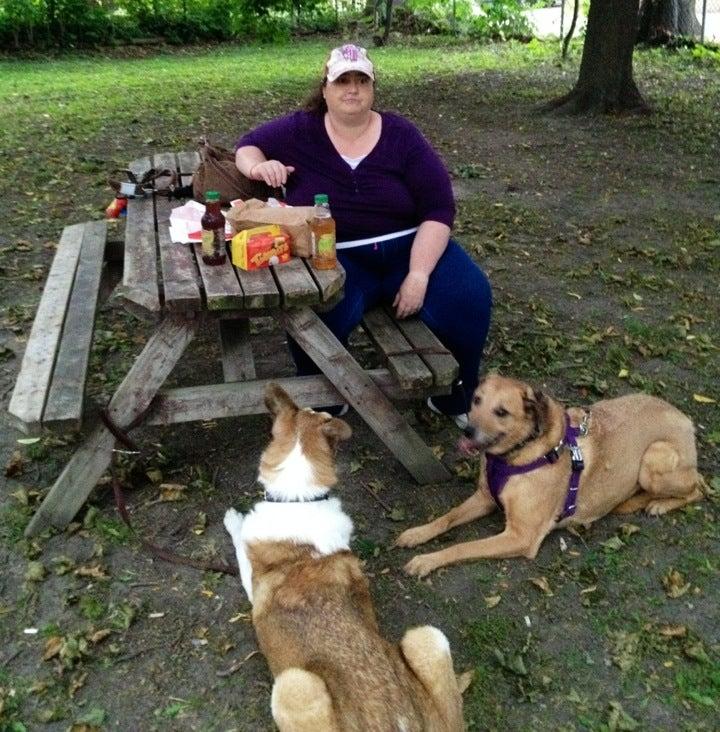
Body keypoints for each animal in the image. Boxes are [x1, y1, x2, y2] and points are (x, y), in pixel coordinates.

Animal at [222, 386, 464, 728]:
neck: (299, 499)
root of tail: (398, 724)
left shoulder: (251, 580)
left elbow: (238, 542)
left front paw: (233, 518)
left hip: (293, 683)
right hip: (427, 638)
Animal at [396, 378, 704, 576]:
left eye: (502, 412)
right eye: (476, 400)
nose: (467, 431)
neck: (519, 454)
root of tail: (685, 418)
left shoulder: (521, 536)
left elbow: (462, 547)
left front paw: (426, 561)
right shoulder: (485, 498)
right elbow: (446, 518)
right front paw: (417, 534)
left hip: (654, 459)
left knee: (699, 487)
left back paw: (658, 504)